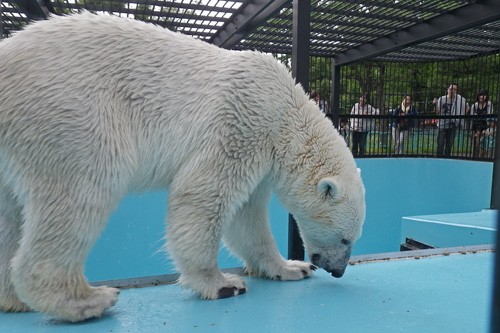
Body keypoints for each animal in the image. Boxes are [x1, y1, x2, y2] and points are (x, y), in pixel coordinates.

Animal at [0, 13, 368, 322]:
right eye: (346, 238)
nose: (338, 271)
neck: (286, 113)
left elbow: (247, 217)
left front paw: (290, 268)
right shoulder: (241, 121)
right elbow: (203, 194)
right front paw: (221, 283)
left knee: (11, 215)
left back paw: (15, 299)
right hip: (70, 109)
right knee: (85, 185)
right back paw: (88, 299)